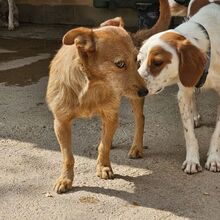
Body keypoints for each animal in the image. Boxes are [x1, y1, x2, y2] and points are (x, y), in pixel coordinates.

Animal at [47, 24, 149, 192]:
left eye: (136, 59)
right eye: (120, 64)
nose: (145, 91)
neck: (93, 85)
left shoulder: (111, 115)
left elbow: (104, 146)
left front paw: (103, 167)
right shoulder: (61, 122)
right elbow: (67, 156)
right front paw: (65, 179)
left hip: (133, 101)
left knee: (140, 119)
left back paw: (136, 148)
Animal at [138, 1, 220, 174]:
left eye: (157, 62)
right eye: (139, 61)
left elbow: (217, 133)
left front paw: (214, 158)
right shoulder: (183, 94)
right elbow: (189, 134)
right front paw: (192, 160)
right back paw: (195, 116)